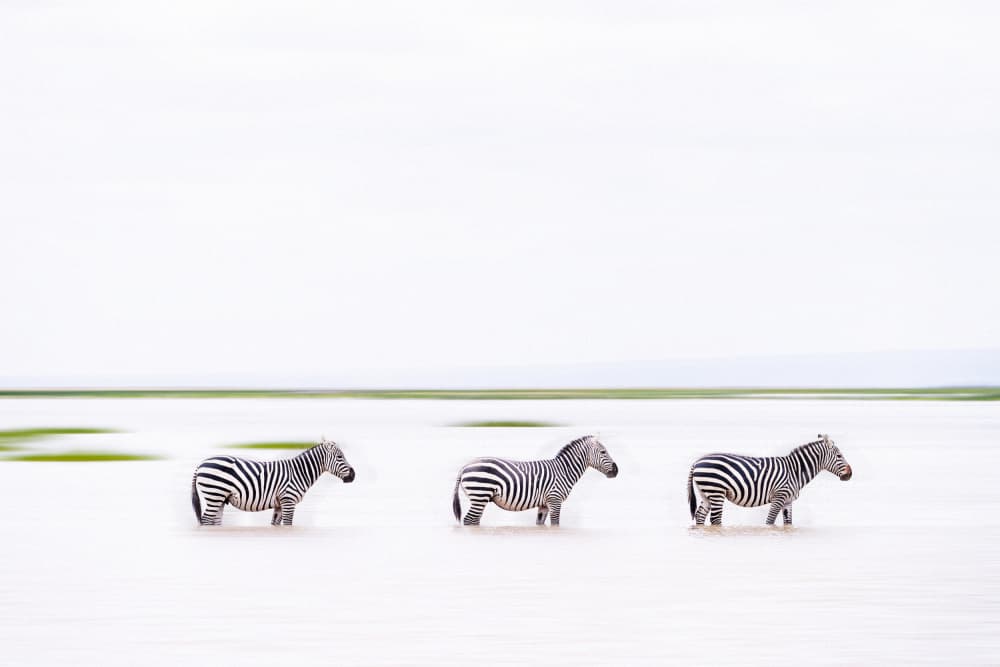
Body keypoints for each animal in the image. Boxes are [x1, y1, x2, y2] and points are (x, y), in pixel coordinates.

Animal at [191, 438, 355, 526]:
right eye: (340, 457)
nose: (353, 475)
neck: (299, 472)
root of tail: (201, 464)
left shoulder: (279, 503)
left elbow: (275, 524)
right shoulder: (289, 500)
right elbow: (288, 524)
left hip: (219, 498)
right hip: (214, 494)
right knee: (206, 520)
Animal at [452, 435, 619, 526]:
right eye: (603, 452)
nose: (616, 471)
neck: (564, 470)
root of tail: (464, 466)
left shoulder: (544, 503)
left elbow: (540, 523)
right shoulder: (555, 500)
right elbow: (555, 524)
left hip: (479, 498)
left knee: (474, 520)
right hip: (480, 494)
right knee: (469, 520)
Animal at [687, 434, 852, 526]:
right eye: (839, 456)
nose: (850, 474)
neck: (795, 470)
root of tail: (696, 462)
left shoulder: (788, 501)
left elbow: (788, 523)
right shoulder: (779, 496)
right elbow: (769, 522)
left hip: (706, 493)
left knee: (700, 516)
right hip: (716, 491)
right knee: (715, 520)